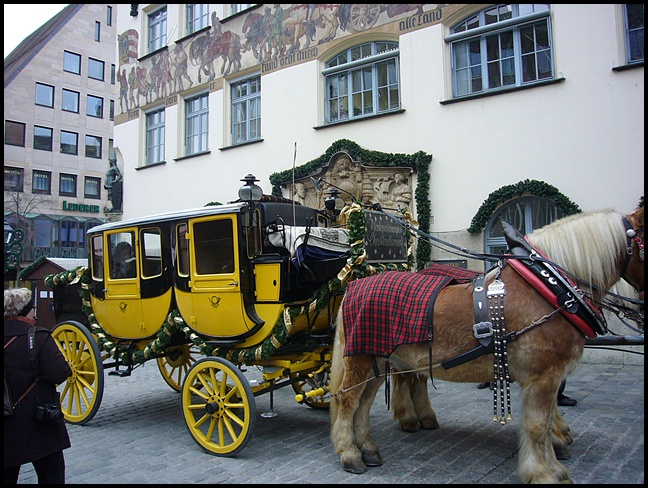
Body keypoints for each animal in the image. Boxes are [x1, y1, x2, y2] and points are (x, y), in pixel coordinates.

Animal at [332, 207, 644, 484]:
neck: (551, 288)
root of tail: (354, 287)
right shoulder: (544, 377)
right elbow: (537, 426)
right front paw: (543, 472)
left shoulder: (546, 377)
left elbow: (543, 423)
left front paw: (554, 463)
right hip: (360, 360)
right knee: (348, 402)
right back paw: (350, 453)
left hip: (379, 362)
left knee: (366, 403)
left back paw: (369, 447)